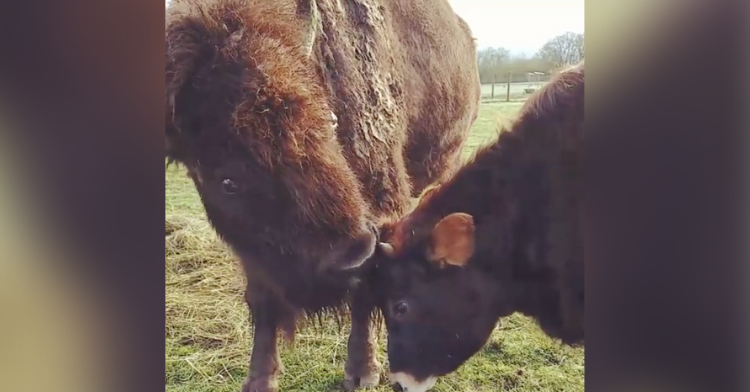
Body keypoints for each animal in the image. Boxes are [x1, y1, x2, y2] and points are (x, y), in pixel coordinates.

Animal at [164, 0, 482, 390]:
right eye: (228, 182)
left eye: (330, 124)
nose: (352, 256)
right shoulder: (253, 251)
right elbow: (262, 300)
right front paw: (260, 380)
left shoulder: (380, 211)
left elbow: (366, 292)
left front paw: (361, 372)